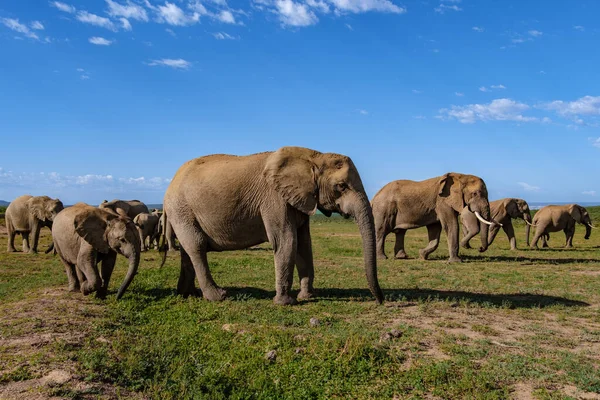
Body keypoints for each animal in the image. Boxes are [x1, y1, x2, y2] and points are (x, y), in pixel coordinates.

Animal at [161, 147, 384, 306]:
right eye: (341, 186)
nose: (380, 301)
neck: (312, 156)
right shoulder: (274, 199)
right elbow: (287, 241)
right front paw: (286, 303)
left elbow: (304, 244)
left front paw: (307, 297)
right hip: (180, 208)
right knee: (197, 246)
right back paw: (218, 296)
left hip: (183, 212)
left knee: (188, 250)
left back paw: (188, 294)